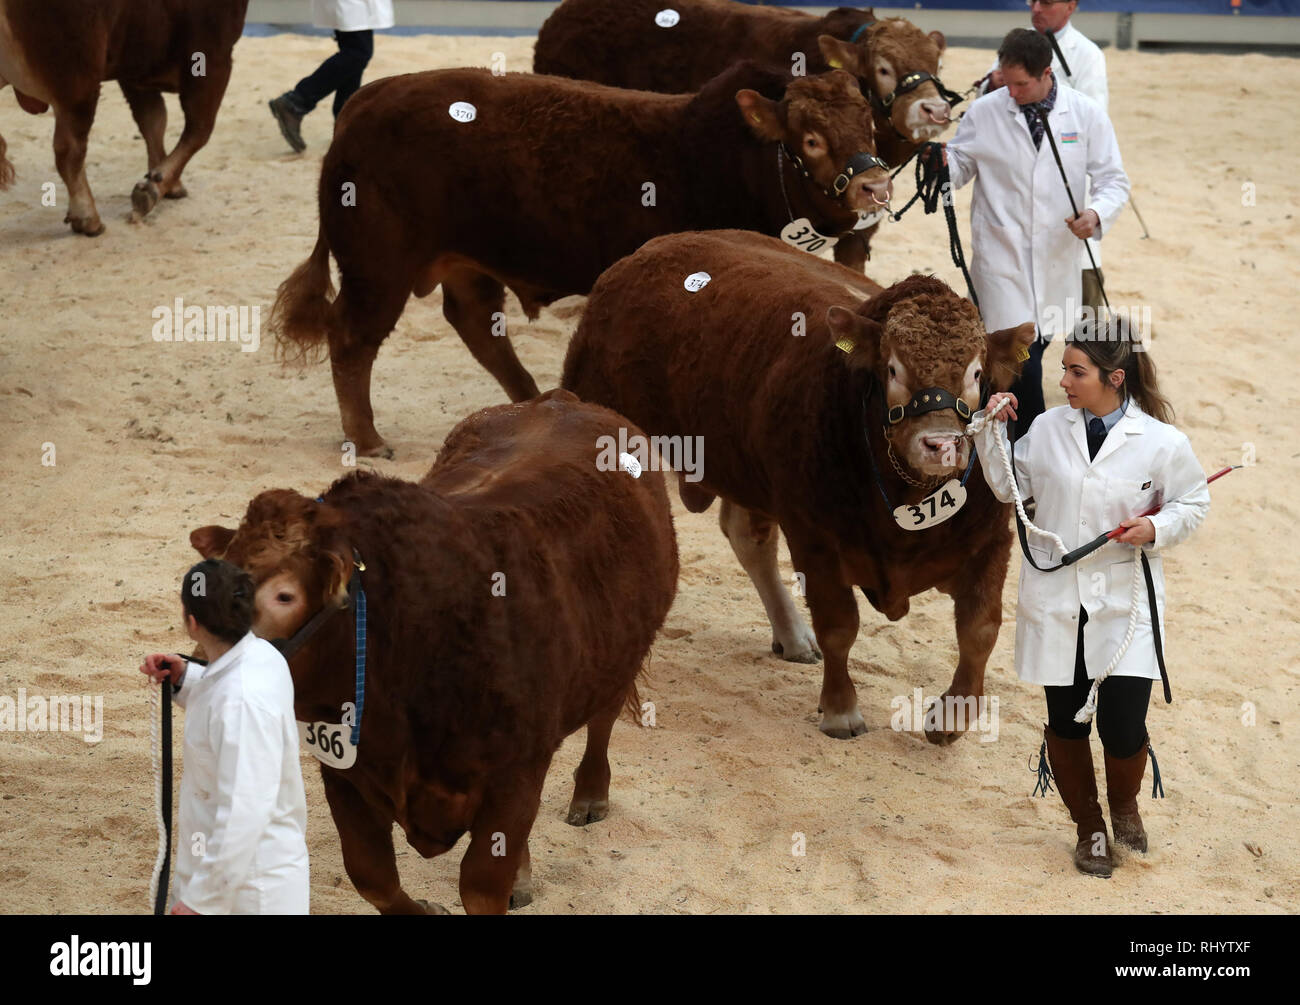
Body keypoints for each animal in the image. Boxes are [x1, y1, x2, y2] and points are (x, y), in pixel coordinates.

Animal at [196, 390, 681, 910]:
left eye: (284, 595)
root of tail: (559, 398)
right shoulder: (345, 773)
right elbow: (372, 875)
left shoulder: (516, 776)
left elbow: (480, 886)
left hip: (621, 654)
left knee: (603, 718)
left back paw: (590, 795)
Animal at [564, 231, 1029, 738]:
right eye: (892, 369)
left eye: (977, 373)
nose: (942, 443)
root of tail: (648, 251)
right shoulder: (814, 537)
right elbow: (838, 626)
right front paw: (841, 709)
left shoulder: (991, 538)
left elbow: (979, 630)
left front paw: (953, 714)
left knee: (748, 539)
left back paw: (790, 633)